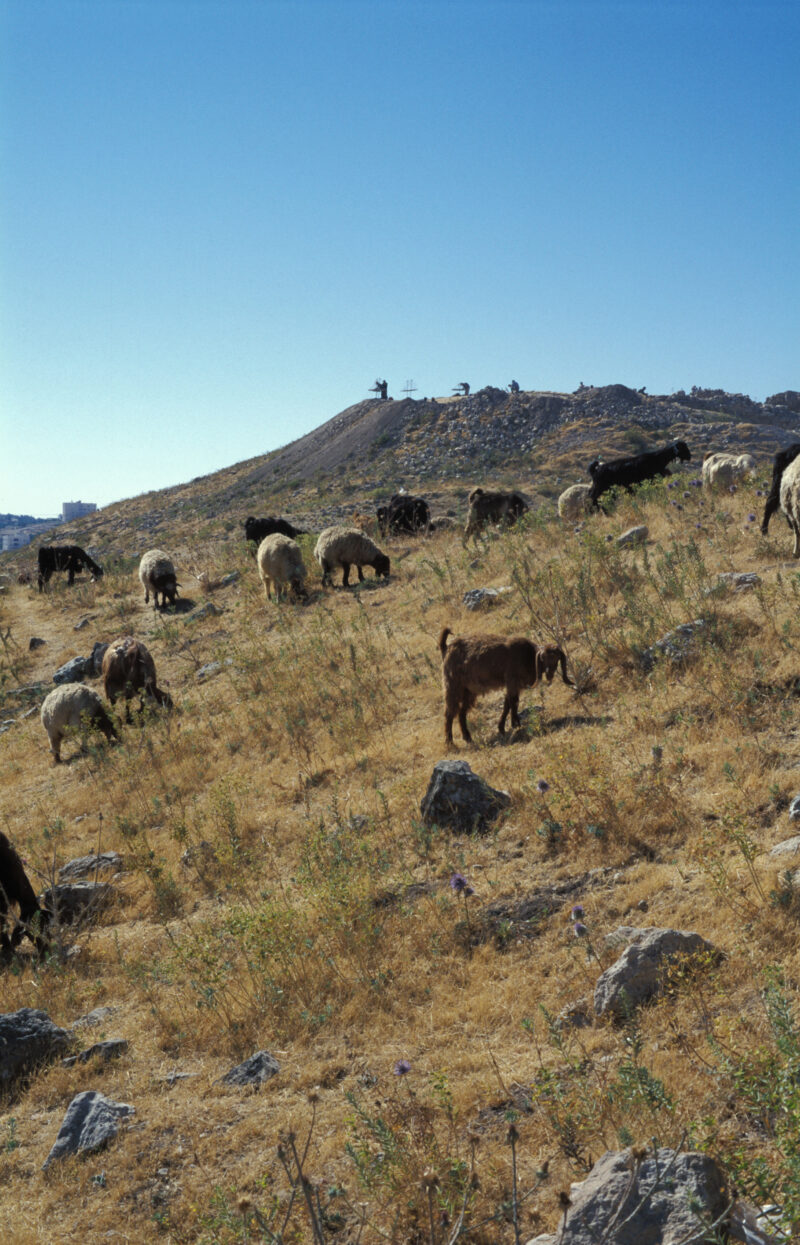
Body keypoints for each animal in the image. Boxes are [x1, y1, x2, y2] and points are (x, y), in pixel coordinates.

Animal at [439, 627, 574, 744]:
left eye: (556, 658)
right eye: (543, 658)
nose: (549, 673)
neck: (527, 655)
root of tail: (446, 648)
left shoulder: (514, 685)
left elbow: (508, 704)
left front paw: (503, 728)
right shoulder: (512, 682)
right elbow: (513, 703)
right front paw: (516, 724)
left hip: (469, 691)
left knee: (461, 713)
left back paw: (467, 738)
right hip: (453, 686)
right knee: (449, 713)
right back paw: (449, 742)